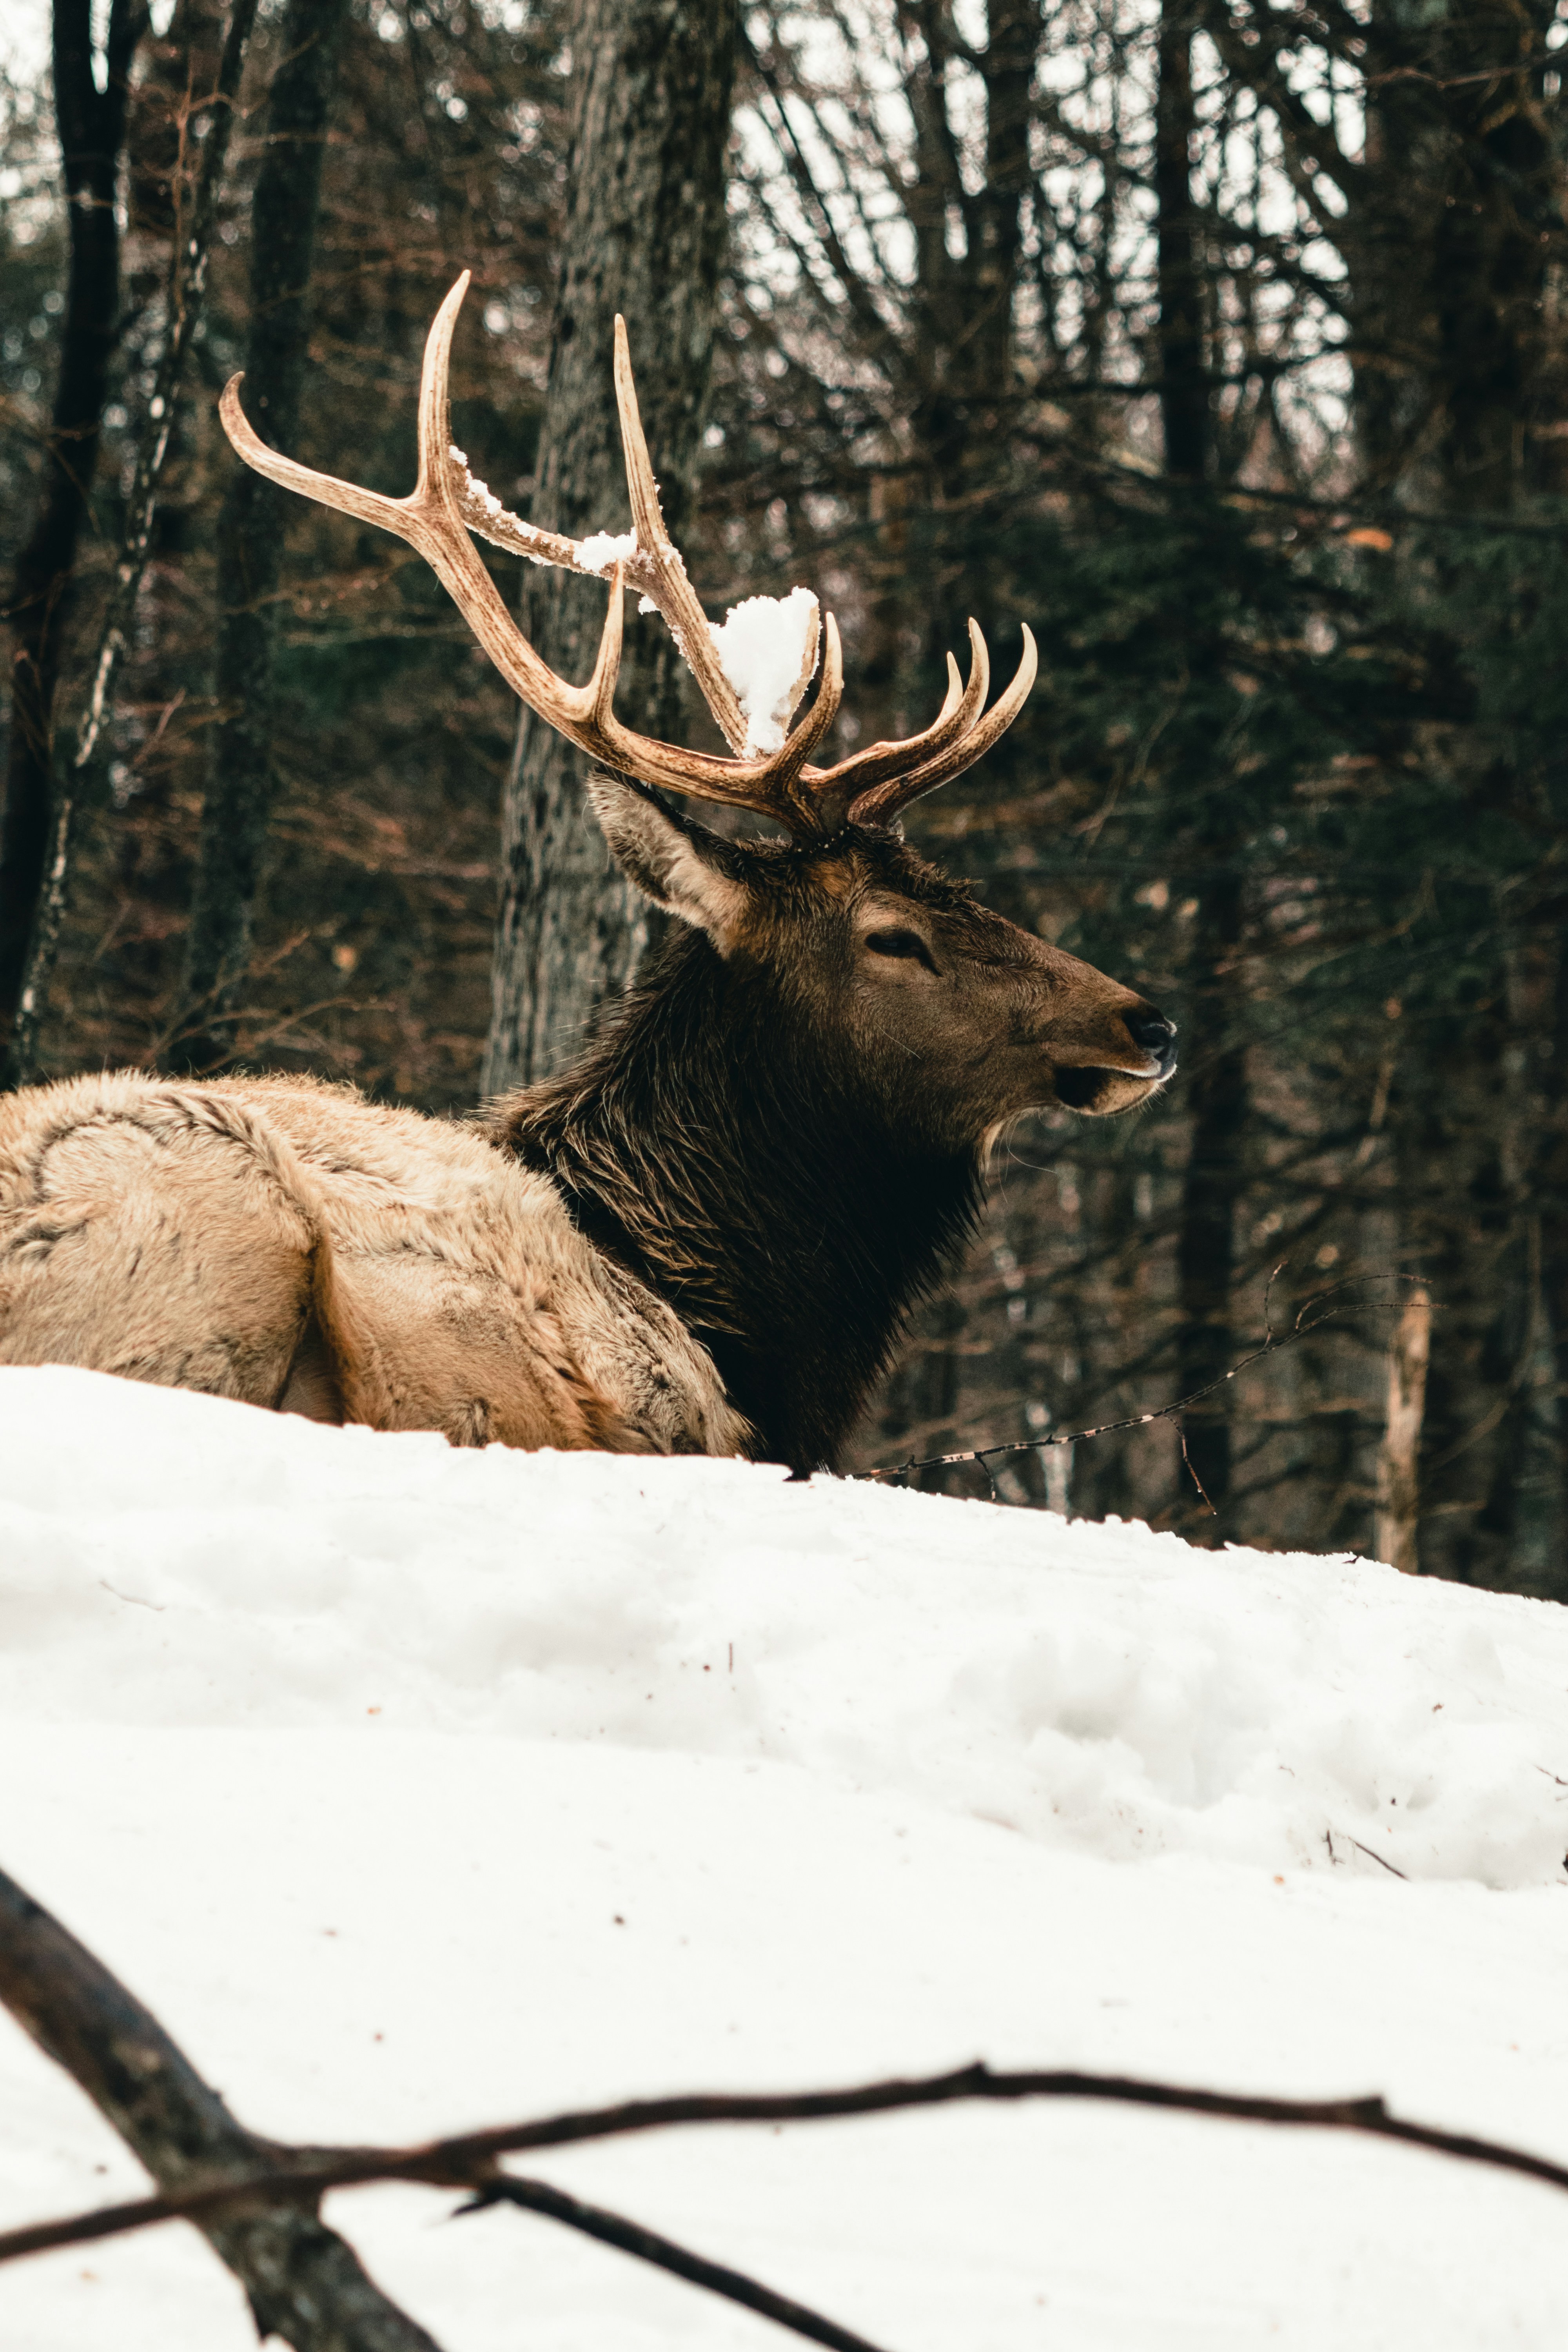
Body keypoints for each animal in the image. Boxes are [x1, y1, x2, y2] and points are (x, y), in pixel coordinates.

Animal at [0, 276, 1176, 1475]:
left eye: (962, 887)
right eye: (893, 934)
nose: (1148, 1021)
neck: (739, 1324)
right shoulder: (680, 1417)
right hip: (208, 1219)